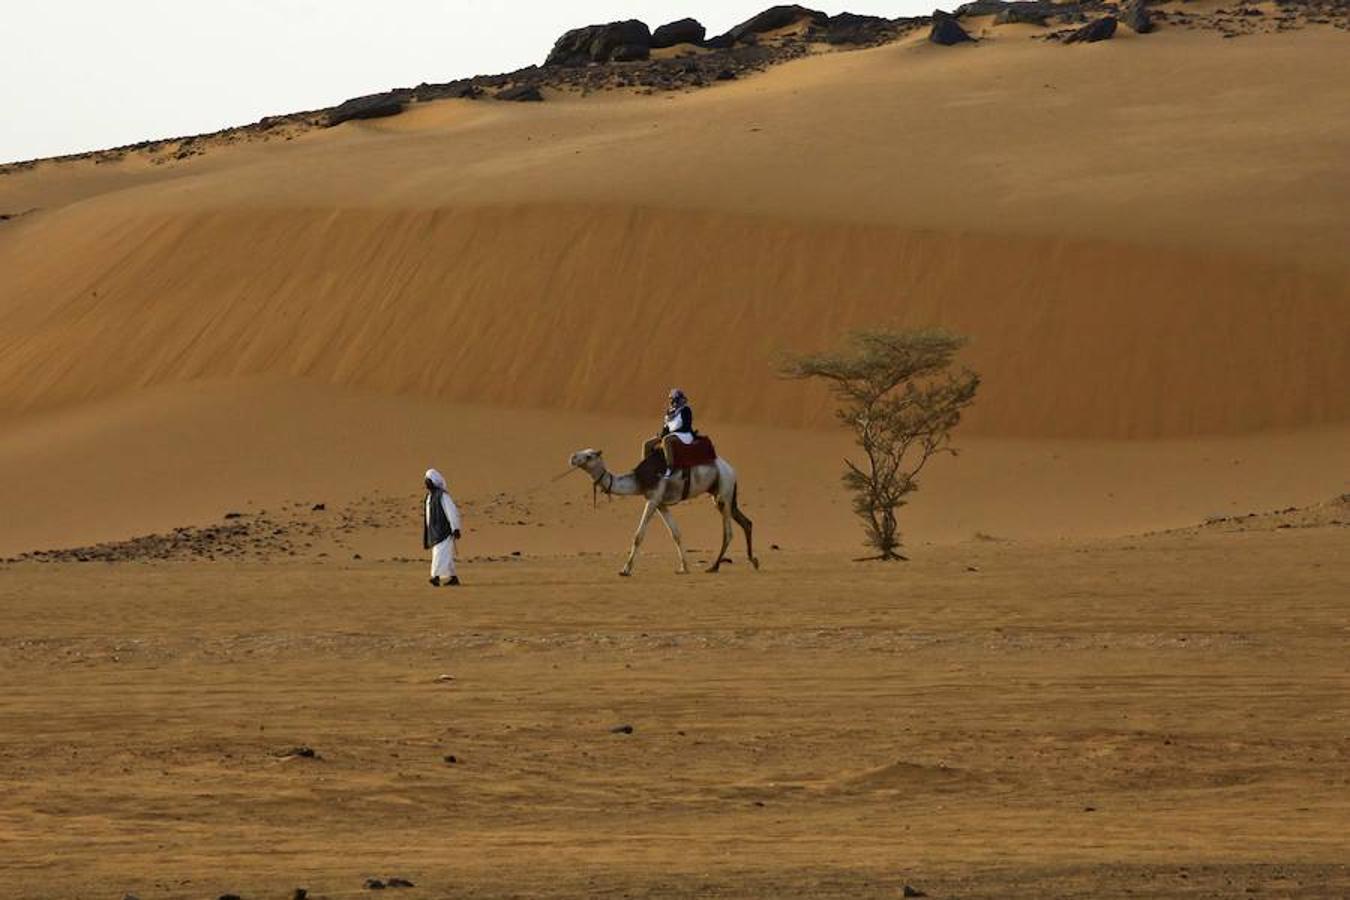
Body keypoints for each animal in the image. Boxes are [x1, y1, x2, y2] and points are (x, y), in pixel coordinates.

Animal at [569, 447, 761, 577]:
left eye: (589, 455)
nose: (572, 457)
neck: (639, 480)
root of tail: (732, 469)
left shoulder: (653, 499)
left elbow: (639, 535)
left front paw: (625, 569)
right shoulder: (661, 504)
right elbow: (675, 534)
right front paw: (684, 567)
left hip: (725, 490)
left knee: (728, 532)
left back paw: (714, 566)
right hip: (721, 494)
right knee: (746, 522)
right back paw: (754, 561)